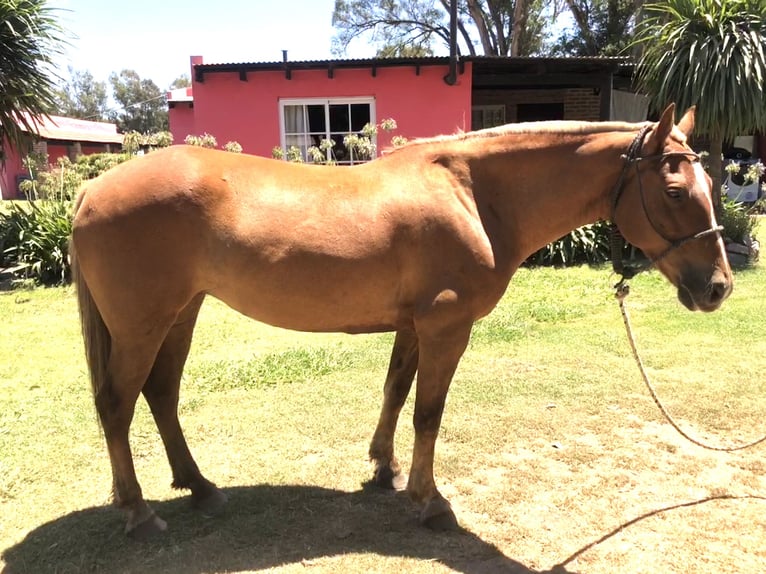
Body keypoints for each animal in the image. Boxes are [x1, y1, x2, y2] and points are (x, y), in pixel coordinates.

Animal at [70, 103, 732, 540]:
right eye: (676, 191)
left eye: (708, 181)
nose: (719, 287)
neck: (473, 195)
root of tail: (92, 190)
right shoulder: (446, 328)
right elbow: (428, 412)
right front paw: (428, 500)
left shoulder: (413, 326)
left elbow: (394, 392)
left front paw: (383, 469)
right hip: (143, 324)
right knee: (116, 404)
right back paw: (138, 512)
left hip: (180, 314)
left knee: (160, 394)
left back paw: (201, 488)